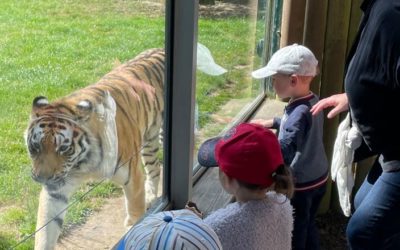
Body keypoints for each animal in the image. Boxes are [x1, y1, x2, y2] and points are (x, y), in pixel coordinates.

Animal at [24, 47, 165, 249]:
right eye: (35, 147)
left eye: (63, 149)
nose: (43, 179)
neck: (83, 163)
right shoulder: (56, 192)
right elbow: (45, 231)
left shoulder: (132, 177)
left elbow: (135, 212)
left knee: (155, 168)